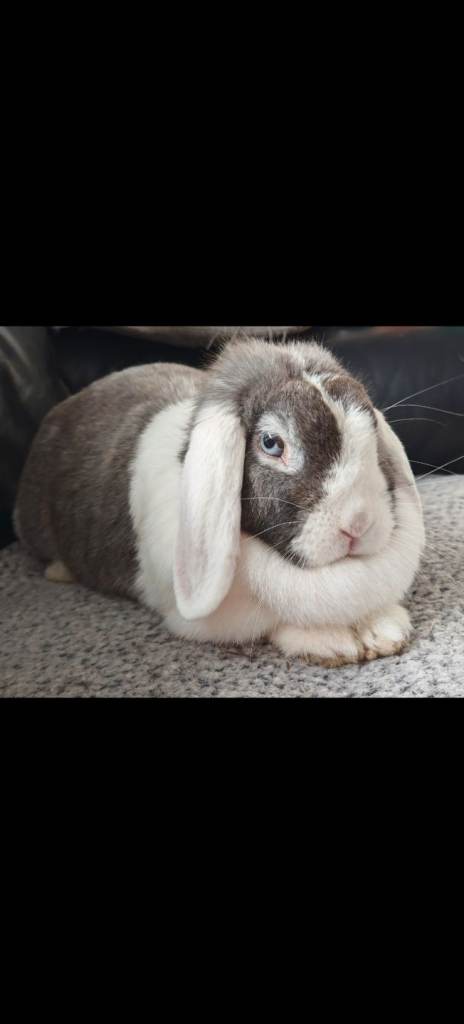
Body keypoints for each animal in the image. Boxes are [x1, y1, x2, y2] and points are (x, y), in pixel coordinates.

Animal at [14, 337, 426, 667]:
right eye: (271, 443)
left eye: (372, 427)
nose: (358, 523)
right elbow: (276, 622)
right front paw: (333, 642)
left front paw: (384, 630)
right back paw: (59, 571)